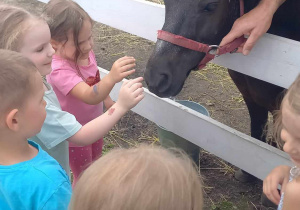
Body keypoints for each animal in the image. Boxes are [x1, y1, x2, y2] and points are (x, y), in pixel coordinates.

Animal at [144, 0, 300, 180]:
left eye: (211, 5)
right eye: (166, 2)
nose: (156, 78)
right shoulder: (251, 96)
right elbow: (258, 134)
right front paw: (249, 174)